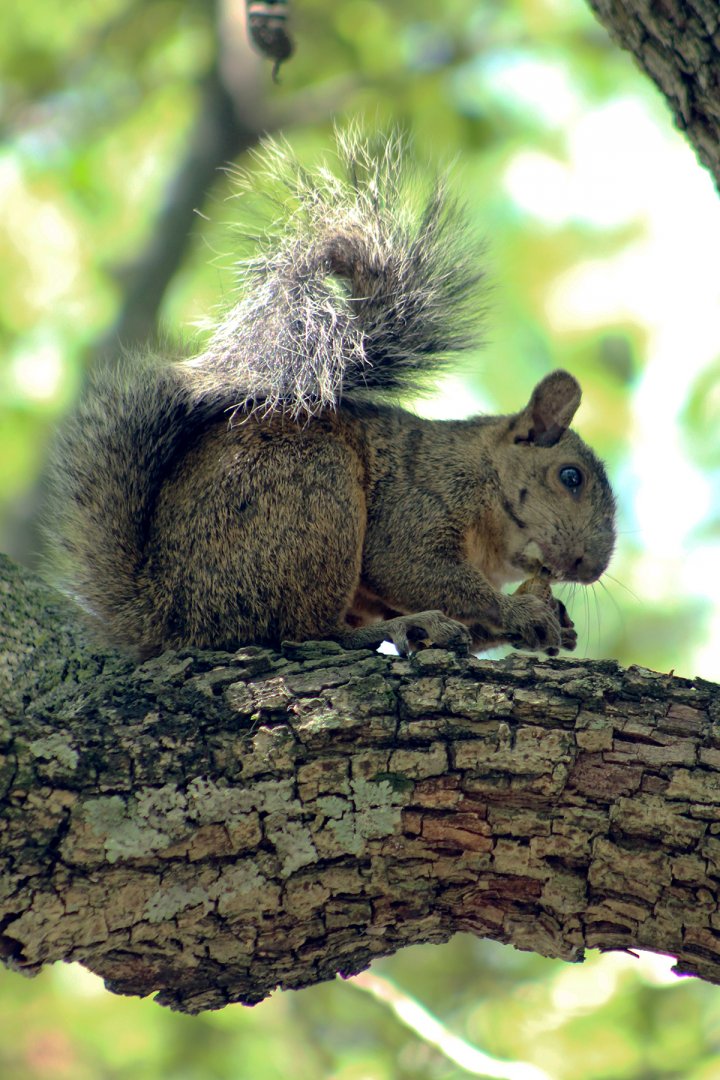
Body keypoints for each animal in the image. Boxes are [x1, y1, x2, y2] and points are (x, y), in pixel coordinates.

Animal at [45, 130, 616, 661]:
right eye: (570, 477)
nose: (589, 568)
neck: (487, 484)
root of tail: (167, 613)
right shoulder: (418, 500)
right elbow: (411, 566)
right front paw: (519, 611)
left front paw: (549, 619)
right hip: (316, 492)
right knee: (307, 630)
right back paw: (403, 628)